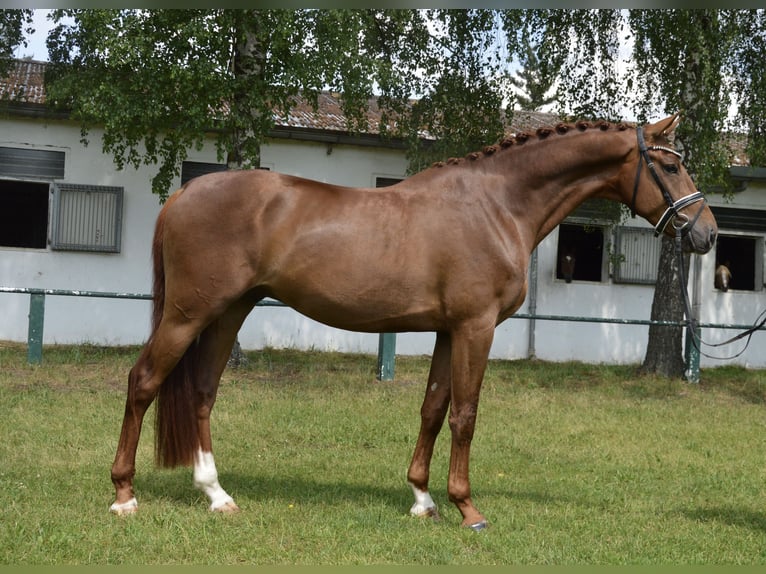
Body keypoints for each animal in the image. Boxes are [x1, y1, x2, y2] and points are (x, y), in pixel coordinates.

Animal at [109, 115, 720, 532]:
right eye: (669, 164)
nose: (707, 233)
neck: (496, 205)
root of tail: (184, 193)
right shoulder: (476, 327)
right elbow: (465, 415)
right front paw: (467, 507)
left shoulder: (450, 331)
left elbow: (432, 408)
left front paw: (423, 500)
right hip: (189, 314)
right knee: (143, 383)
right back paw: (124, 494)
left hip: (227, 313)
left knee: (202, 393)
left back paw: (216, 494)